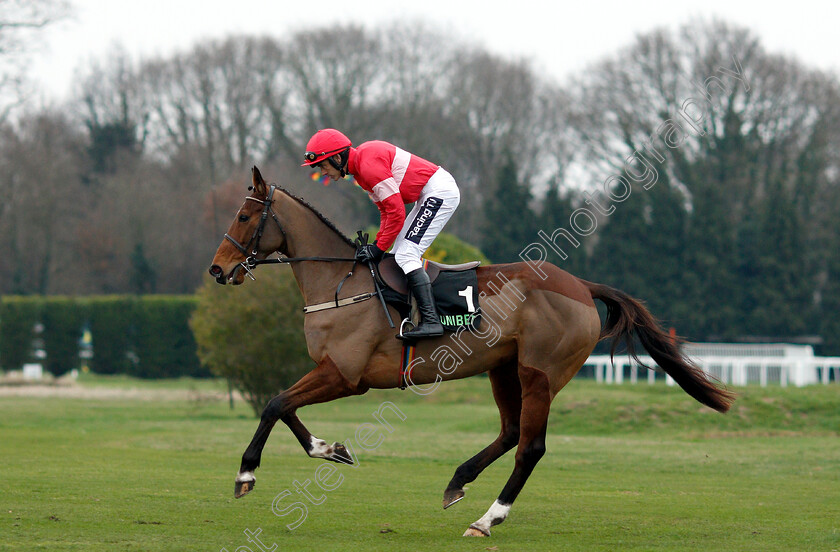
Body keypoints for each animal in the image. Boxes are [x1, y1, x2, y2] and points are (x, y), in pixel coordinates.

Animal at [210, 166, 736, 536]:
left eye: (244, 215)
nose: (218, 269)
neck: (342, 283)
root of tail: (582, 286)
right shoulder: (330, 371)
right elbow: (283, 404)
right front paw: (330, 449)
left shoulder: (345, 375)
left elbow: (275, 402)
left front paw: (246, 473)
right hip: (503, 368)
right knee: (509, 433)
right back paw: (458, 480)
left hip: (540, 373)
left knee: (530, 446)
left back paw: (489, 518)